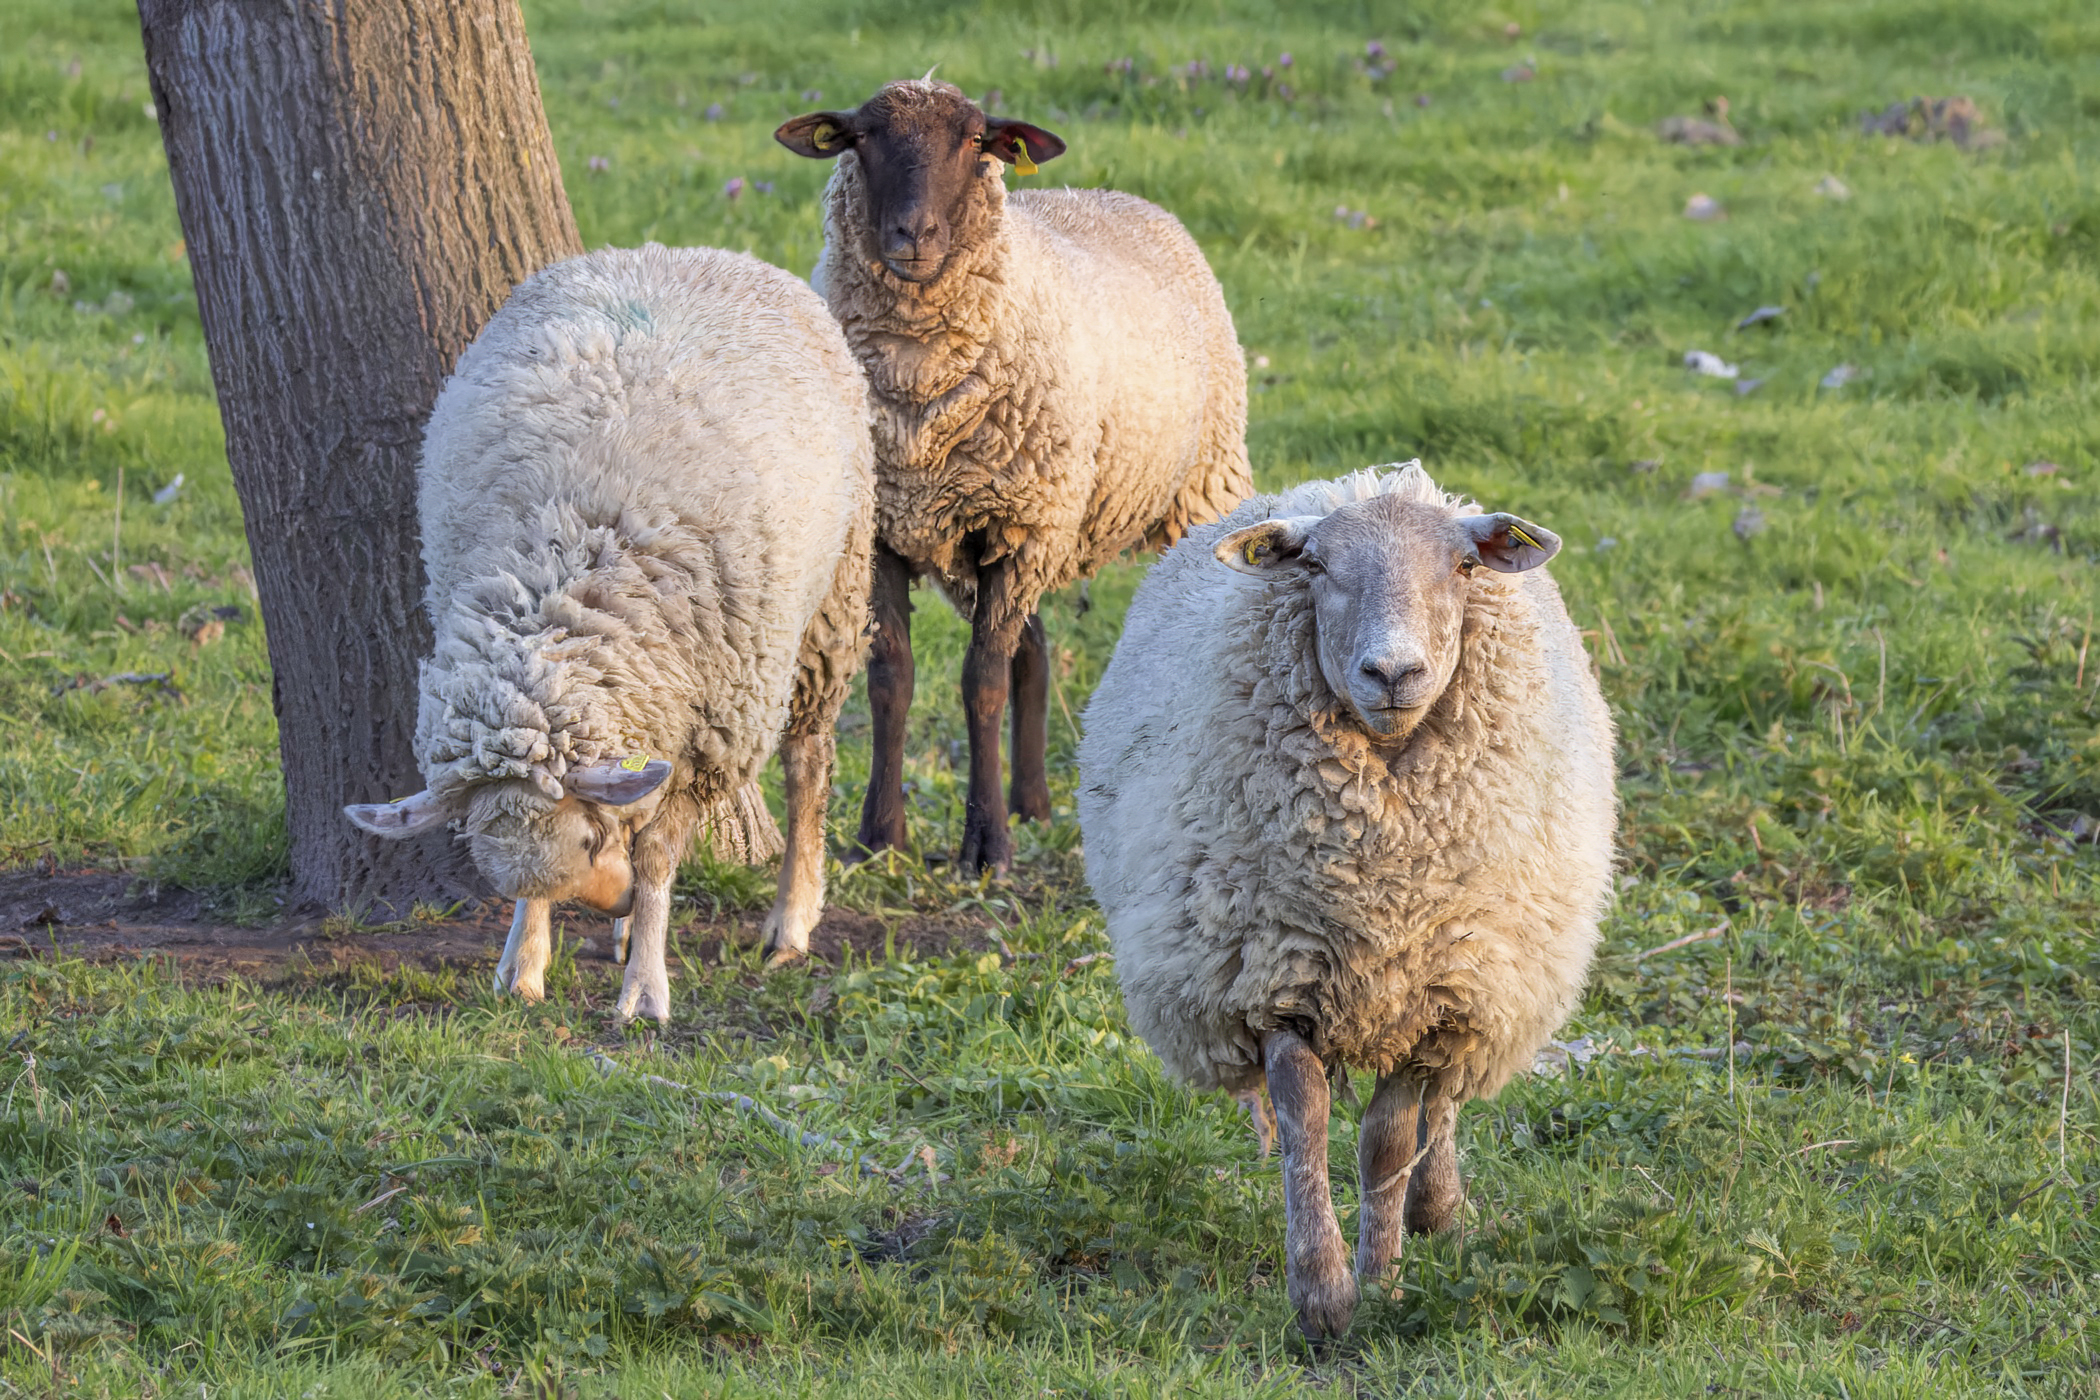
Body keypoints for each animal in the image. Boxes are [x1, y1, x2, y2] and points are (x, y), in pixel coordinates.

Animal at [342, 243, 874, 1021]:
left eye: (592, 836)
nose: (614, 902)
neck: (559, 597)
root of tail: (680, 250)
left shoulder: (707, 735)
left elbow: (656, 857)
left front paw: (645, 986)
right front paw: (525, 962)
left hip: (831, 602)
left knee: (810, 762)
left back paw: (791, 920)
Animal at [775, 78, 1251, 874]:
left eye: (975, 141)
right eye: (861, 138)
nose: (913, 234)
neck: (916, 382)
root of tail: (1120, 196)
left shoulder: (1020, 527)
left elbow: (982, 685)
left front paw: (987, 847)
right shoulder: (885, 535)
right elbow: (891, 679)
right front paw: (881, 836)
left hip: (1195, 491)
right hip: (991, 545)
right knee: (1034, 648)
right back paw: (1034, 803)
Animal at [1077, 462, 1616, 1338]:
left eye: (1463, 567)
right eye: (1317, 566)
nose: (1392, 674)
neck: (1379, 889)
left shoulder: (1432, 994)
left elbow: (1389, 1142)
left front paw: (1385, 1280)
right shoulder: (1270, 976)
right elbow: (1307, 1126)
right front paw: (1324, 1295)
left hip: (1486, 971)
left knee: (1447, 1103)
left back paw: (1437, 1210)